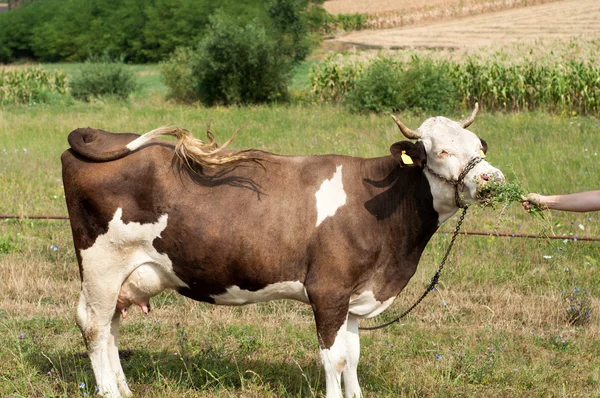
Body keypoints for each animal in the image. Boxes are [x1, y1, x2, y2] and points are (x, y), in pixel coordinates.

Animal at [59, 104, 502, 396]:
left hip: (125, 274)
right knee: (94, 325)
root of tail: (102, 134)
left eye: (479, 146)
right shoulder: (328, 291)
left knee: (112, 326)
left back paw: (124, 391)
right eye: (442, 150)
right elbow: (334, 359)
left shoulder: (355, 294)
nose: (493, 179)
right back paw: (108, 391)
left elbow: (354, 356)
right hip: (101, 263)